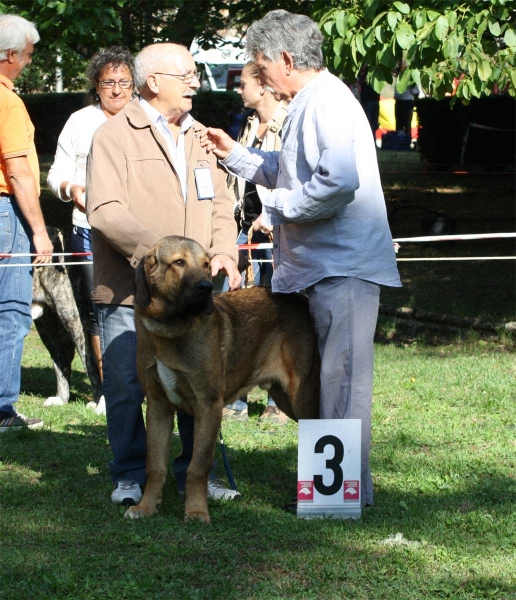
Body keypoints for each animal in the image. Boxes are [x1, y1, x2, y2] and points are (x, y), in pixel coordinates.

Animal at [125, 234, 318, 520]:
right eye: (179, 262)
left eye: (206, 265)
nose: (206, 287)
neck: (169, 328)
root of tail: (302, 301)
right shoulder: (158, 407)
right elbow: (155, 465)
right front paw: (146, 507)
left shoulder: (208, 406)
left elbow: (198, 466)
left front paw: (196, 511)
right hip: (284, 397)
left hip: (301, 397)